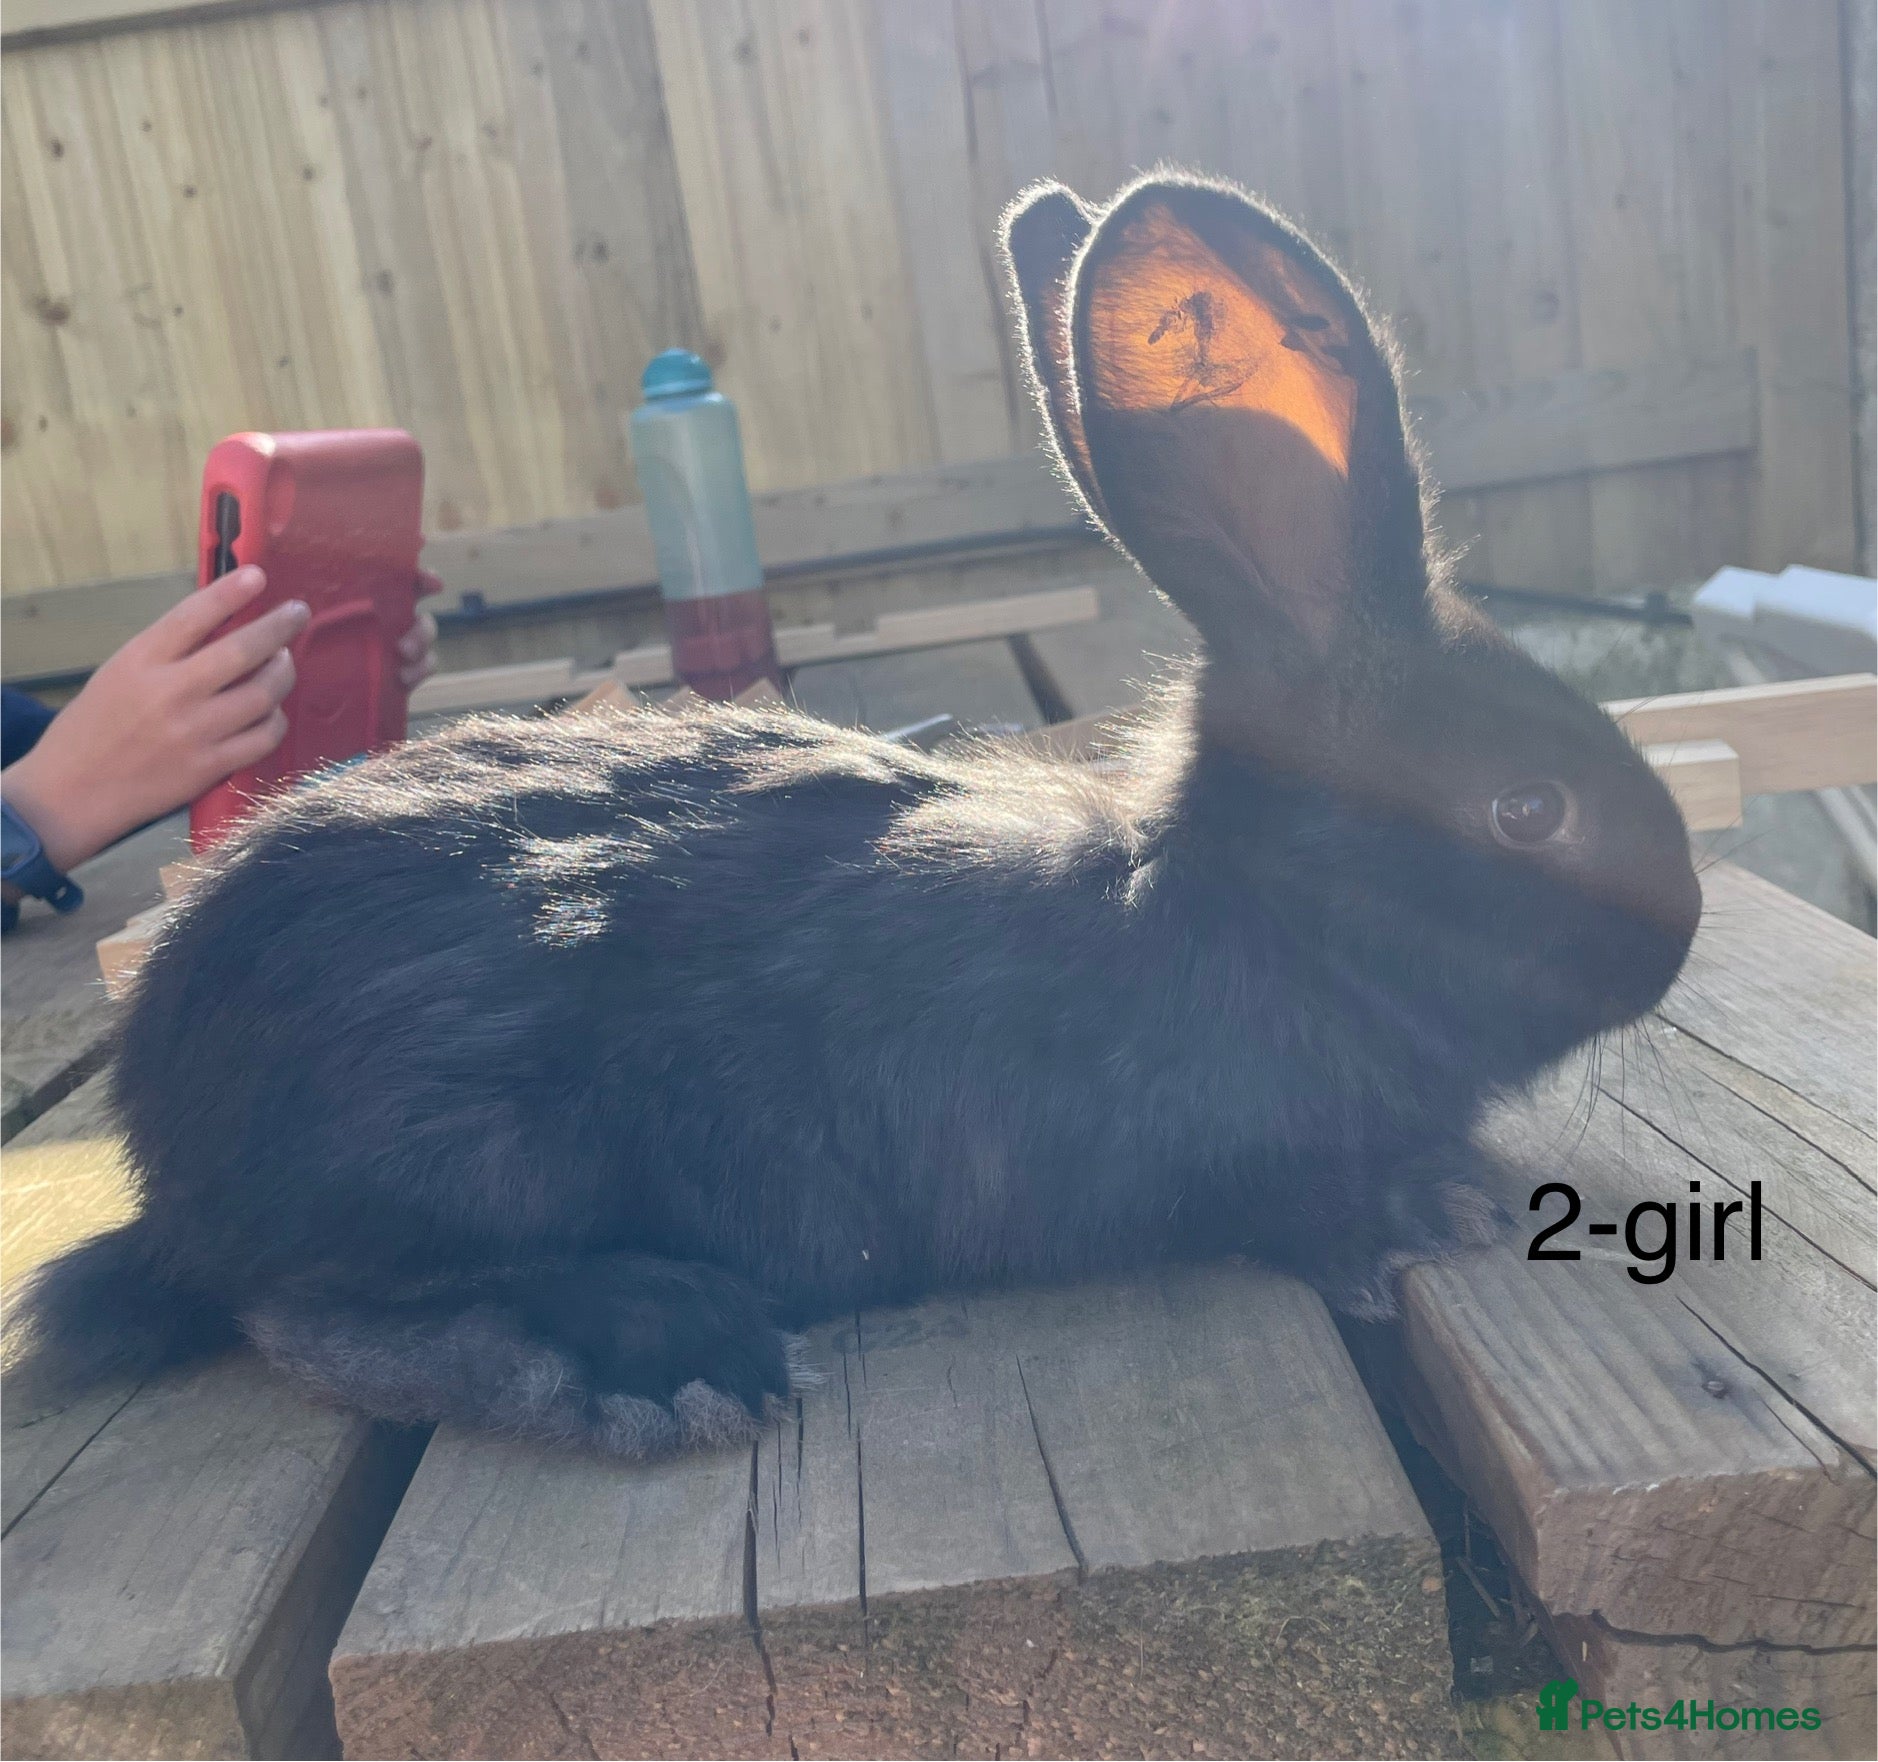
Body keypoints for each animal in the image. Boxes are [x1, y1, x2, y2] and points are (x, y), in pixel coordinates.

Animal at [13, 174, 1702, 1458]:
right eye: (1529, 809)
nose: (1678, 930)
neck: (1232, 908)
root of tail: (171, 1152)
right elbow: (1285, 1199)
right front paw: (1426, 1208)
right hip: (441, 1147)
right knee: (311, 1311)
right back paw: (661, 1357)